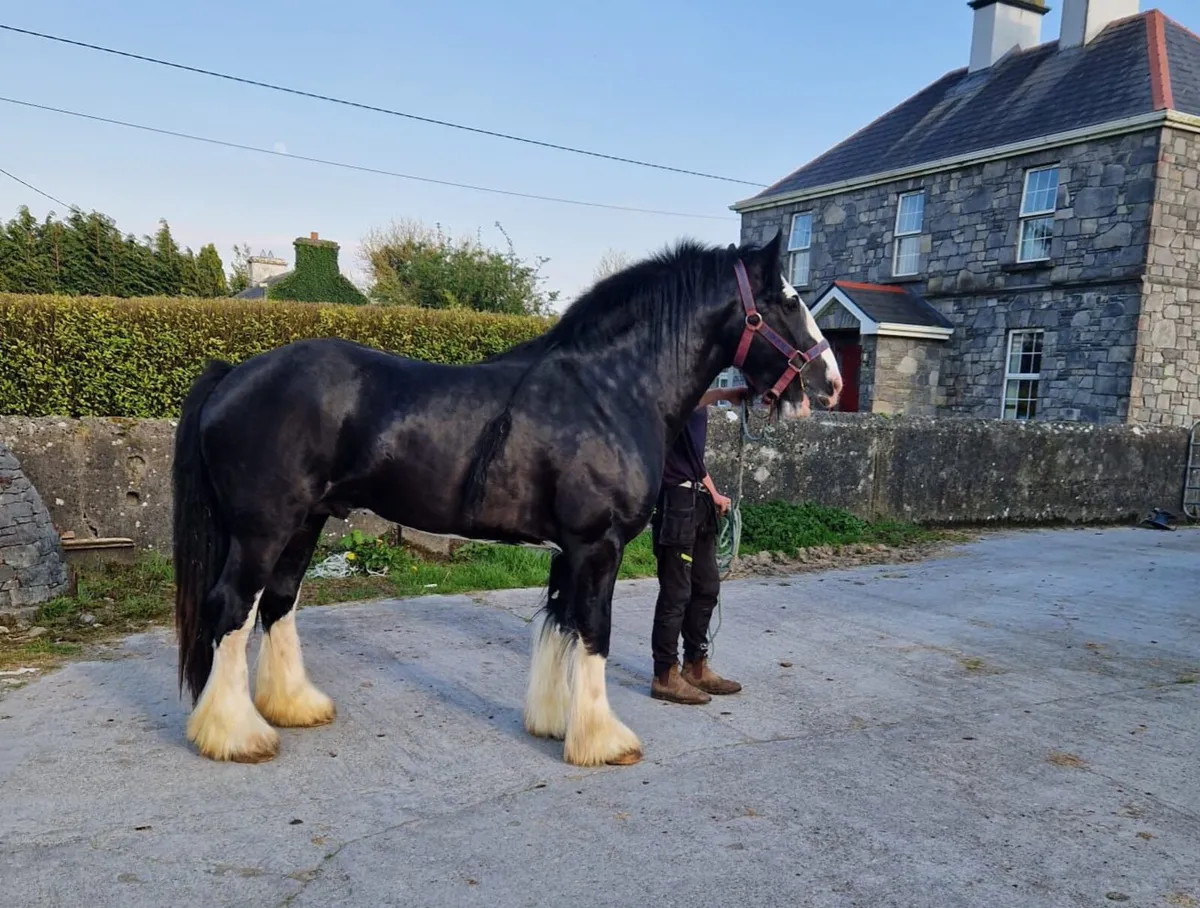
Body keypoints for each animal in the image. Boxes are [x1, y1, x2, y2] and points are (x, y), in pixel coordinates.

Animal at [171, 228, 842, 767]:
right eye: (788, 301)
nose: (830, 382)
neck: (609, 390)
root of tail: (232, 374)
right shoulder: (597, 545)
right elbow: (594, 631)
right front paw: (603, 741)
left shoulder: (569, 549)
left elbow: (562, 624)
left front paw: (555, 724)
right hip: (264, 528)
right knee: (233, 607)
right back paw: (236, 736)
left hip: (304, 523)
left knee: (277, 603)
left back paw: (292, 708)